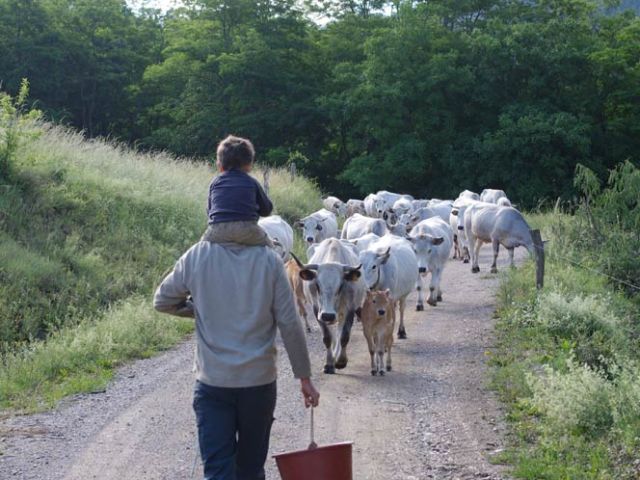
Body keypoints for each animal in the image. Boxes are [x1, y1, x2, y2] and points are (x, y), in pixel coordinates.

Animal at [292, 240, 364, 376]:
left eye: (340, 286)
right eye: (317, 285)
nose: (328, 315)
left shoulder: (350, 309)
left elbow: (344, 336)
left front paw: (340, 361)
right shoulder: (317, 310)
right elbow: (327, 337)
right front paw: (329, 364)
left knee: (340, 331)